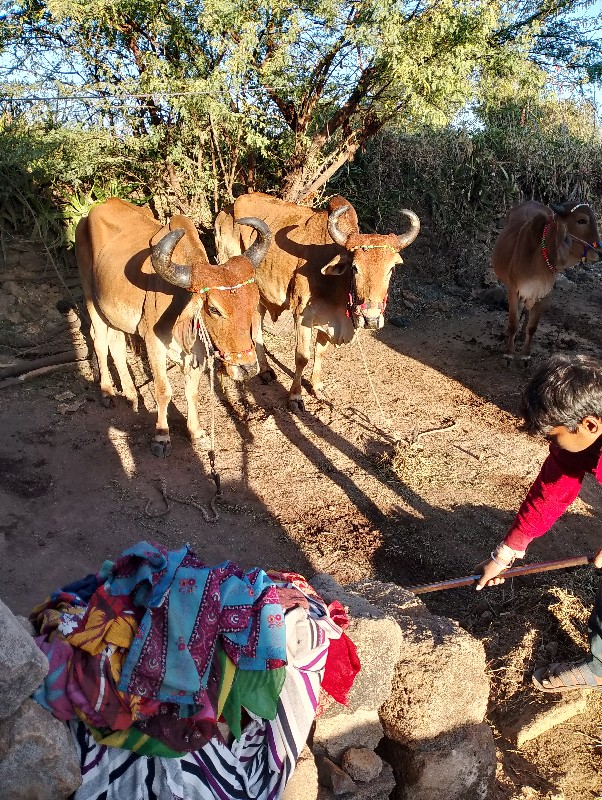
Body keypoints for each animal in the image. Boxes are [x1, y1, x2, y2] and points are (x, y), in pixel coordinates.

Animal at [77, 198, 270, 456]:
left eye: (253, 302)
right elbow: (163, 391)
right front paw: (161, 436)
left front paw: (197, 433)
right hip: (92, 300)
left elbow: (192, 391)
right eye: (214, 309)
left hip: (115, 313)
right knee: (99, 341)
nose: (247, 368)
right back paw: (107, 391)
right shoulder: (153, 344)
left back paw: (131, 394)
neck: (177, 296)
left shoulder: (197, 351)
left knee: (116, 346)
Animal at [214, 191, 418, 410]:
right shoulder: (302, 314)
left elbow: (320, 352)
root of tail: (225, 211)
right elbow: (302, 356)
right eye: (355, 268)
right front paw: (295, 396)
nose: (370, 319)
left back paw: (265, 369)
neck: (335, 285)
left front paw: (317, 387)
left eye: (391, 269)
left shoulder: (328, 320)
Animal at [492, 200, 600, 362]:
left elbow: (532, 327)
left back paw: (522, 335)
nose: (600, 252)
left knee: (527, 313)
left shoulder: (544, 294)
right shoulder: (513, 290)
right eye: (582, 220)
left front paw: (525, 355)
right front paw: (509, 353)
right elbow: (513, 323)